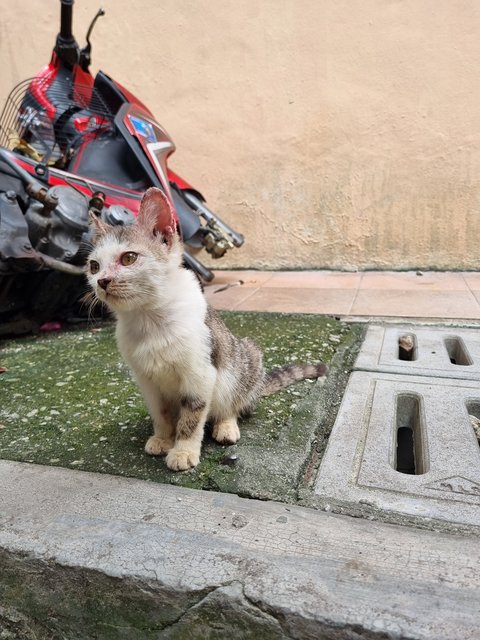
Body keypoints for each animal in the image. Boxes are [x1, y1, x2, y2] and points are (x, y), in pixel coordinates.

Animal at [86, 188, 328, 472]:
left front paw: (183, 451)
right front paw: (162, 437)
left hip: (245, 358)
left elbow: (192, 416)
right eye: (93, 266)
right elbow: (160, 412)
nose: (102, 281)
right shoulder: (145, 379)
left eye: (129, 258)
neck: (149, 319)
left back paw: (226, 425)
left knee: (233, 403)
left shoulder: (200, 373)